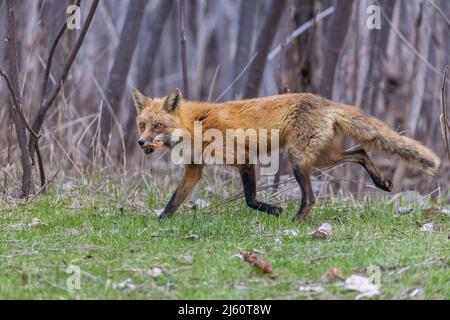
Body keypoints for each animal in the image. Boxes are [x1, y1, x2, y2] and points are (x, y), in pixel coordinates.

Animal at [132, 88, 442, 222]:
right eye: (141, 124)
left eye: (157, 126)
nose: (140, 142)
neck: (195, 124)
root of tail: (326, 102)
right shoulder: (194, 168)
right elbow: (174, 200)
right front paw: (160, 222)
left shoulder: (243, 157)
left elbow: (250, 199)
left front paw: (274, 210)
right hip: (322, 157)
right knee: (361, 151)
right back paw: (382, 183)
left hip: (298, 160)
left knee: (311, 197)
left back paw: (295, 221)